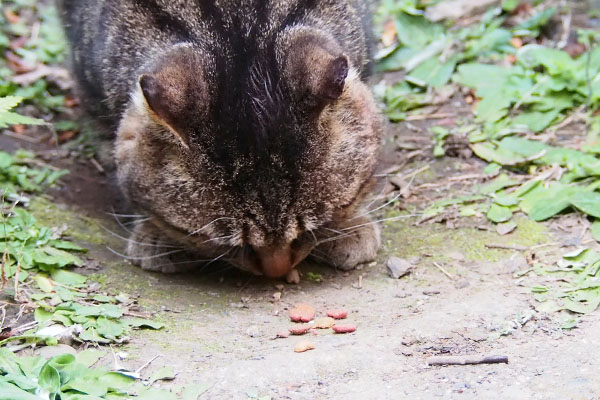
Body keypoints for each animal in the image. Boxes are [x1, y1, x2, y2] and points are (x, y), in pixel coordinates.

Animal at [57, 0, 384, 280]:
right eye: (233, 245)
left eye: (311, 230)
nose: (276, 273)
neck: (238, 21)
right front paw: (154, 234)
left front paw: (351, 226)